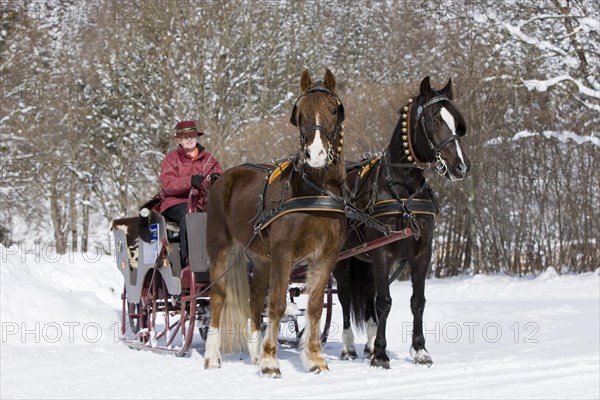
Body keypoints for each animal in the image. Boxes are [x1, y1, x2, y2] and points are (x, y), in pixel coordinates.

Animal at [204, 67, 346, 376]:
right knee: (219, 297)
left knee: (255, 299)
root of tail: (222, 177)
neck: (315, 193)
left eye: (333, 110)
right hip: (221, 248)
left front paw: (315, 360)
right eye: (300, 115)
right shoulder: (284, 253)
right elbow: (278, 305)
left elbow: (314, 307)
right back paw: (212, 357)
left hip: (260, 258)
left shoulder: (325, 256)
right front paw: (270, 361)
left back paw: (254, 354)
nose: (316, 154)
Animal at [336, 76, 472, 368]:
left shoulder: (423, 252)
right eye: (435, 121)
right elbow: (385, 302)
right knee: (344, 297)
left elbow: (416, 301)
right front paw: (381, 354)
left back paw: (368, 344)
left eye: (456, 121)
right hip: (342, 260)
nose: (461, 167)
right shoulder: (382, 252)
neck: (403, 189)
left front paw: (419, 350)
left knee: (369, 296)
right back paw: (349, 347)